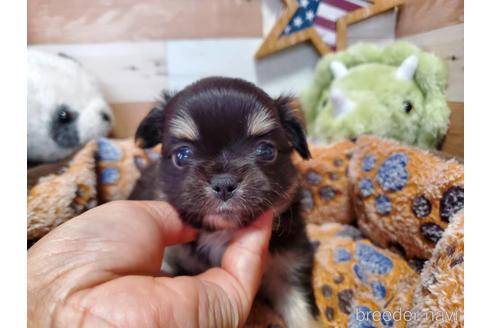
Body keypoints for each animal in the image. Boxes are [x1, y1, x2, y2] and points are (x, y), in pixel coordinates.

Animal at [130, 77, 320, 328]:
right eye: (182, 155)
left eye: (266, 150)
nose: (224, 183)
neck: (222, 232)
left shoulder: (289, 264)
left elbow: (302, 312)